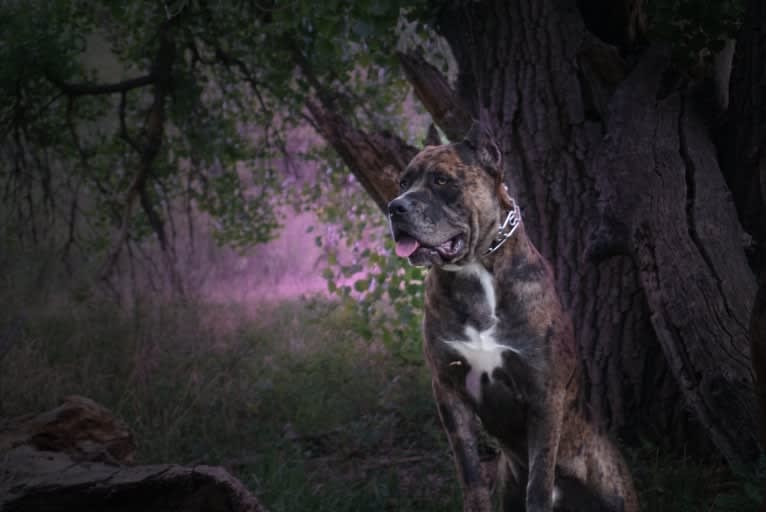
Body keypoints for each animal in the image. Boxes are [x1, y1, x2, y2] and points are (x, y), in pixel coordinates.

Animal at [388, 125, 640, 512]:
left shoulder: (544, 392)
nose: (395, 207)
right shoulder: (448, 390)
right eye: (403, 182)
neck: (476, 269)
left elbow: (539, 481)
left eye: (442, 180)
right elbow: (471, 473)